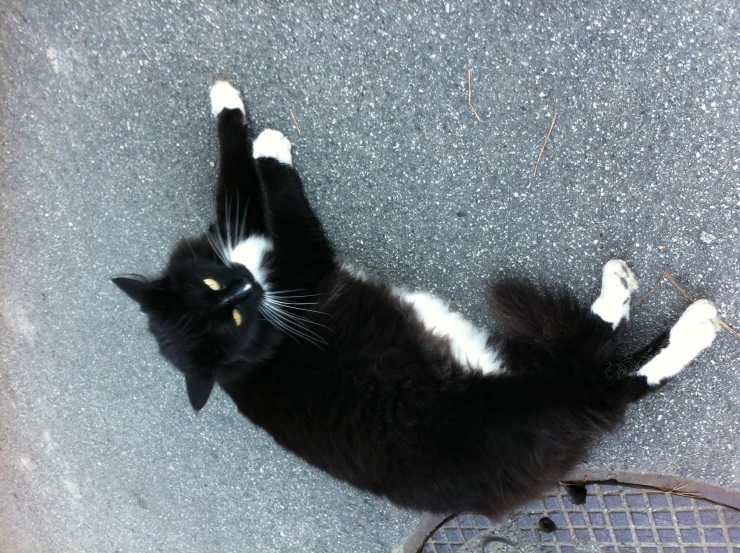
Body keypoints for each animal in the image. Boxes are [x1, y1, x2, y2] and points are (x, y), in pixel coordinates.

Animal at [112, 82, 720, 516]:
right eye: (236, 315)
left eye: (219, 295)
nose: (247, 288)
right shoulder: (305, 265)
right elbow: (281, 196)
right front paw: (270, 147)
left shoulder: (240, 239)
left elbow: (234, 183)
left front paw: (227, 104)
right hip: (515, 381)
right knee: (603, 375)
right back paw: (683, 318)